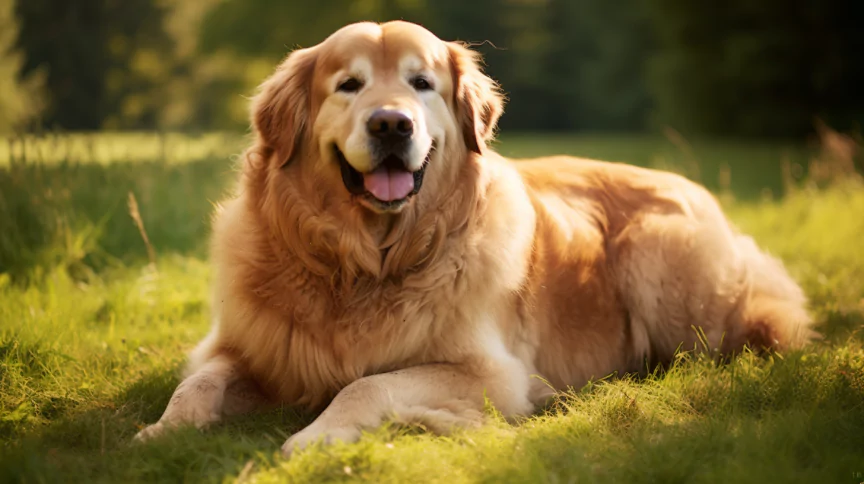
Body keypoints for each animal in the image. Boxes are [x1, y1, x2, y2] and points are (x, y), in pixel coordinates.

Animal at [135, 20, 816, 456]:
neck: (364, 263)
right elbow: (199, 381)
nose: (391, 124)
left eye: (421, 84)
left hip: (661, 262)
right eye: (349, 85)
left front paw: (321, 433)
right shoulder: (249, 347)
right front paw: (163, 432)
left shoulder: (491, 372)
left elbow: (367, 381)